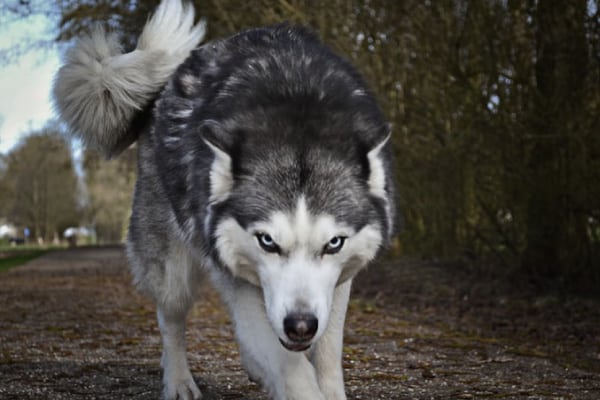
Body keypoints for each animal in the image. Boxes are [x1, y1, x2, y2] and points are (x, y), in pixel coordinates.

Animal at [54, 0, 396, 398]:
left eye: (334, 243)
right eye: (267, 241)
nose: (300, 325)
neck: (297, 109)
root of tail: (166, 85)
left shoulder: (336, 286)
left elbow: (325, 355)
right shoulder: (238, 278)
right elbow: (291, 370)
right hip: (172, 271)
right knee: (170, 320)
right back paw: (179, 381)